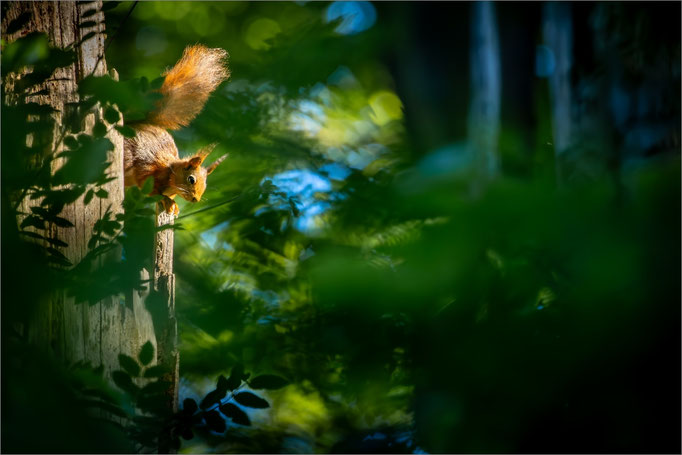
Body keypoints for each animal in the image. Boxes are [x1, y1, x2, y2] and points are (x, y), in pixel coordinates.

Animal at [123, 45, 230, 216]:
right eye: (191, 179)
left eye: (205, 184)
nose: (195, 199)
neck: (170, 172)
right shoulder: (149, 169)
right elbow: (150, 189)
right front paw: (166, 200)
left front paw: (174, 204)